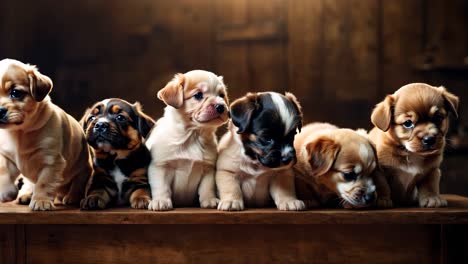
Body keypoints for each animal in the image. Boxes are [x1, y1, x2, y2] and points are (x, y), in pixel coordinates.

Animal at [0, 58, 93, 210]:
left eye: (16, 93)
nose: (0, 110)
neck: (20, 133)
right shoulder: (5, 155)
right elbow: (3, 171)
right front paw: (6, 191)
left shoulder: (51, 162)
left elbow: (44, 183)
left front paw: (41, 201)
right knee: (30, 182)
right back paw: (26, 194)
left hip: (83, 167)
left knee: (78, 182)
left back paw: (72, 197)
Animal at [144, 69, 229, 210]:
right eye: (198, 95)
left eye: (221, 95)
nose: (221, 107)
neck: (193, 135)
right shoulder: (160, 167)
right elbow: (161, 187)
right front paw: (160, 201)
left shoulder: (208, 169)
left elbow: (207, 187)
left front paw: (209, 199)